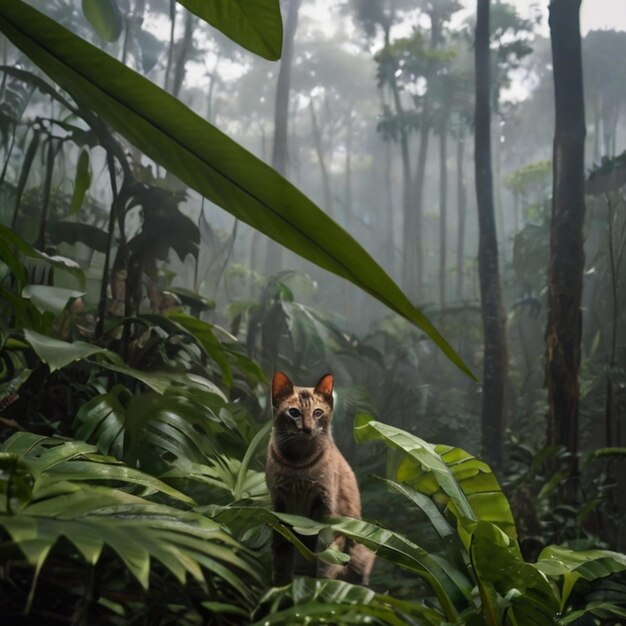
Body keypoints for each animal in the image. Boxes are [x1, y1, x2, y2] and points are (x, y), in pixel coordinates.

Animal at [264, 368, 372, 584]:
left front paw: (319, 585)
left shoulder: (324, 510)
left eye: (318, 412)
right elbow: (281, 557)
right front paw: (280, 586)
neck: (298, 464)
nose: (307, 428)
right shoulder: (280, 509)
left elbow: (324, 559)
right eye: (294, 412)